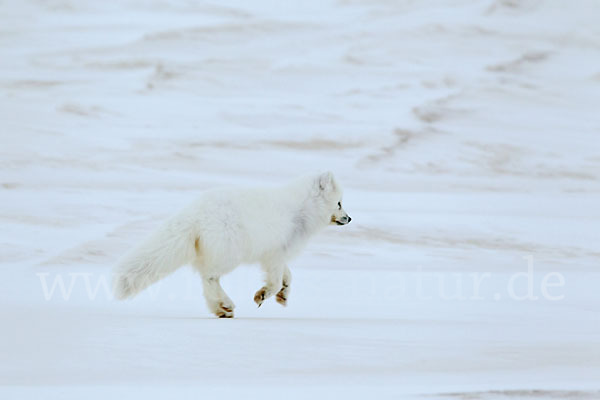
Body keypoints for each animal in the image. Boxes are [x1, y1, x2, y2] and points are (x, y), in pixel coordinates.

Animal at [112, 172, 352, 318]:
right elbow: (274, 281)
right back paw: (225, 304)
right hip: (230, 254)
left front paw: (283, 294)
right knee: (209, 277)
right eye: (339, 203)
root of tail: (195, 212)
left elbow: (288, 276)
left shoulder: (275, 254)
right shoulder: (274, 252)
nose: (349, 218)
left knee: (205, 279)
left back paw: (220, 309)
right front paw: (263, 295)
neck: (301, 210)